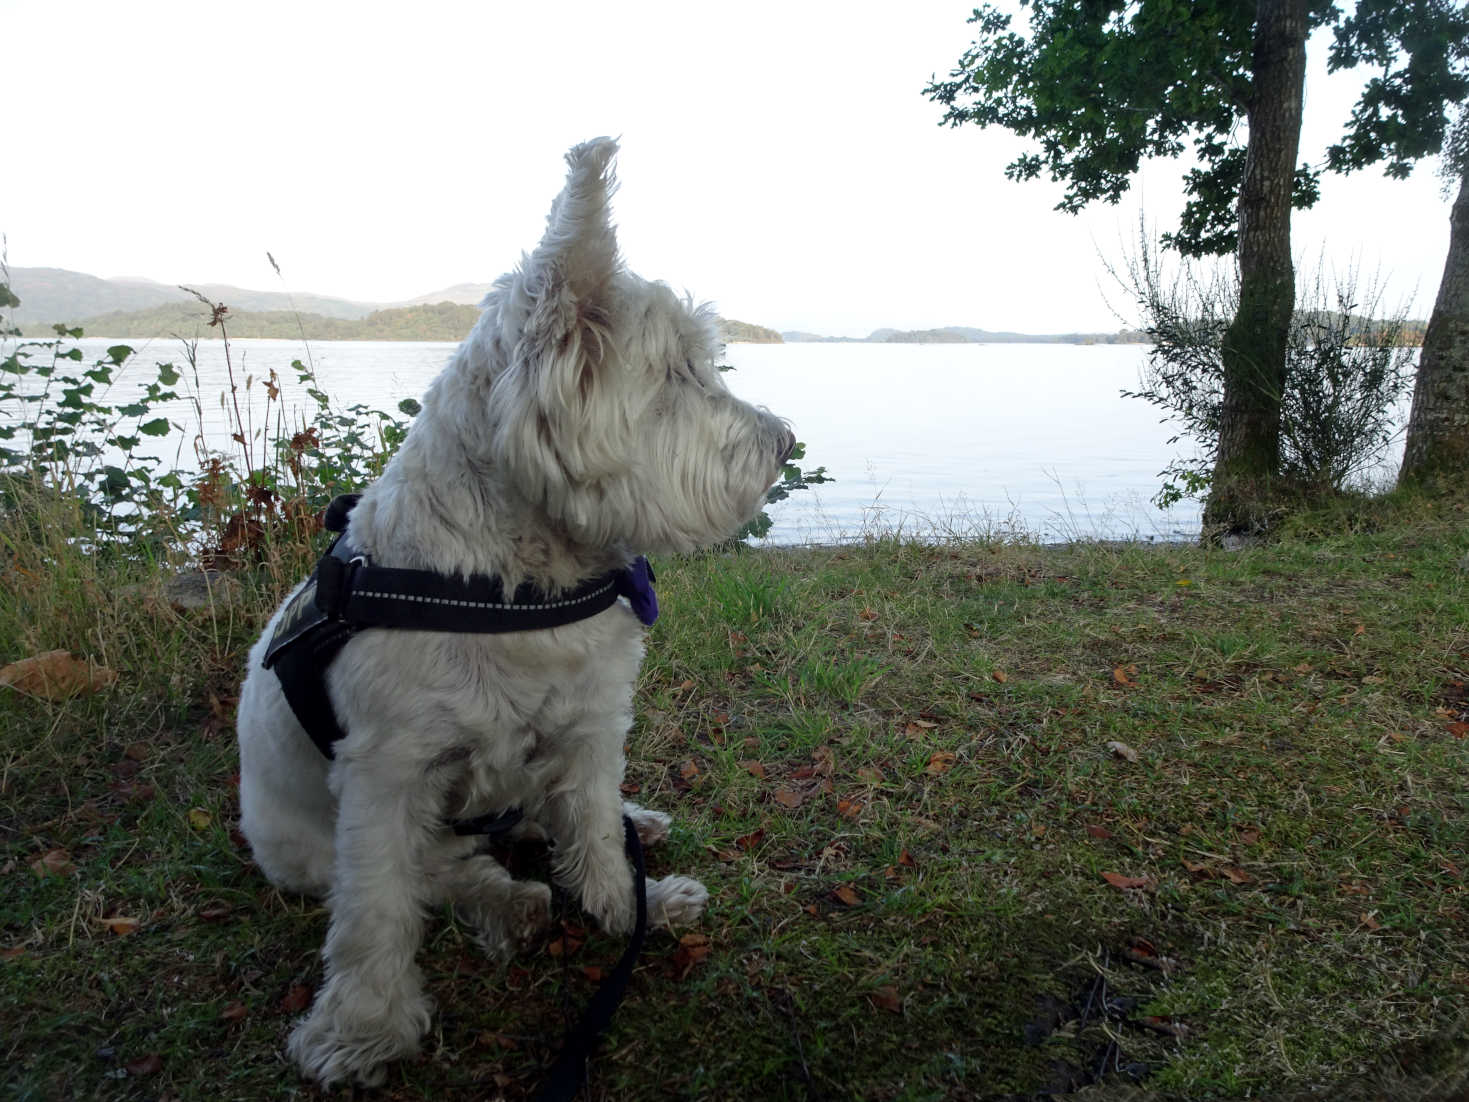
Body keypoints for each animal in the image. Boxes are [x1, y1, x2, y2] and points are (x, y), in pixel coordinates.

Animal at [237, 135, 793, 1087]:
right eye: (677, 372)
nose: (787, 442)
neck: (518, 584)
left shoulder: (593, 723)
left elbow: (595, 833)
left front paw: (627, 907)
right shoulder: (386, 774)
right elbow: (376, 908)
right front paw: (361, 1029)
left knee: (542, 817)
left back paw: (630, 827)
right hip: (301, 840)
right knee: (438, 869)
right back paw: (508, 903)